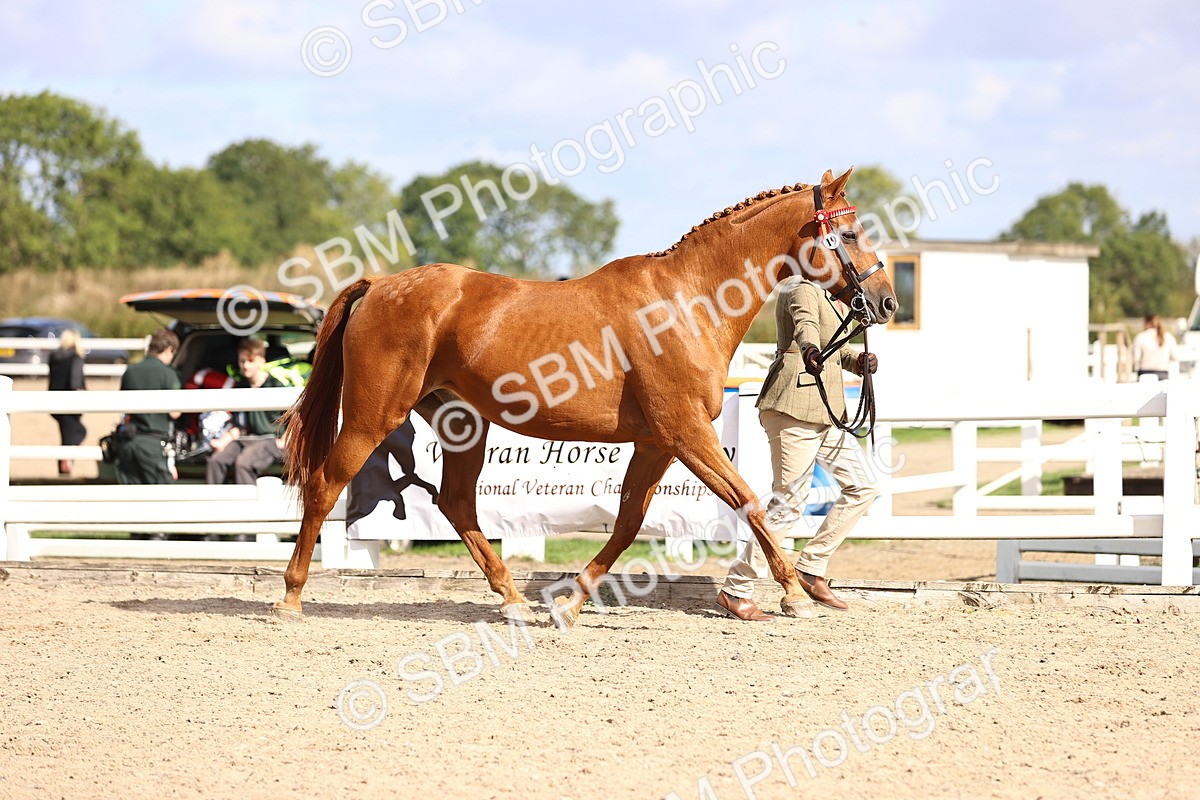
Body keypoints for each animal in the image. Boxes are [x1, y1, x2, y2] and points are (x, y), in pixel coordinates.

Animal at [272, 167, 898, 626]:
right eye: (850, 234)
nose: (886, 302)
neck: (688, 300)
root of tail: (379, 284)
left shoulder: (657, 443)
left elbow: (627, 523)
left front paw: (570, 603)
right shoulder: (686, 433)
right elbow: (748, 501)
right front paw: (792, 593)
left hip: (461, 422)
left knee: (456, 504)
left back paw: (514, 601)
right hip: (372, 415)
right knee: (326, 485)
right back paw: (291, 598)